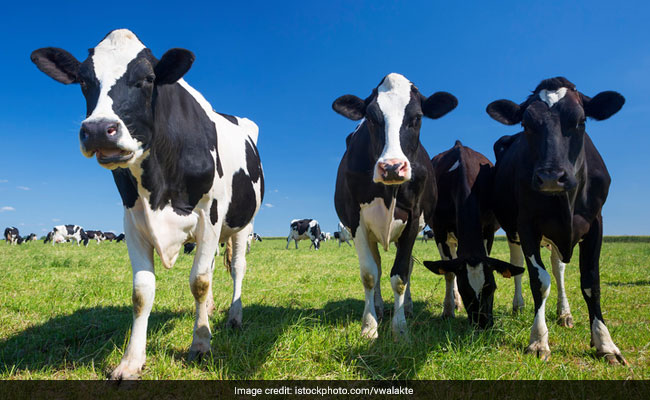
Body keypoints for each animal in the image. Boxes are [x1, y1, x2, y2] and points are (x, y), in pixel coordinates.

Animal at [30, 29, 264, 380]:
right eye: (84, 80)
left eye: (148, 79)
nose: (98, 130)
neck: (159, 183)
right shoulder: (133, 220)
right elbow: (142, 292)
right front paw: (131, 361)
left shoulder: (209, 216)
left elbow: (199, 281)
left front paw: (200, 345)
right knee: (211, 267)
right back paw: (209, 311)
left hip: (241, 224)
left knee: (237, 268)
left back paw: (233, 316)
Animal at [332, 72, 454, 340]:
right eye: (370, 118)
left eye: (417, 117)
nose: (391, 167)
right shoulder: (355, 220)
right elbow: (369, 274)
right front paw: (369, 326)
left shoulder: (413, 218)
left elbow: (400, 275)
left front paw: (400, 329)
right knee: (377, 266)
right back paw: (378, 306)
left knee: (407, 265)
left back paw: (407, 307)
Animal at [420, 139, 520, 326]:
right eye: (465, 290)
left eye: (491, 287)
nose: (483, 324)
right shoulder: (440, 232)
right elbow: (449, 273)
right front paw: (448, 310)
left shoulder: (488, 230)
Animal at [484, 76, 624, 364]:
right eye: (526, 124)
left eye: (580, 120)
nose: (550, 177)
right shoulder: (527, 225)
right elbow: (539, 281)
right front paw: (538, 340)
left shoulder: (596, 223)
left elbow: (590, 282)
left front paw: (605, 342)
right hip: (514, 229)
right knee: (518, 264)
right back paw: (519, 305)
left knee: (558, 269)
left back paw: (564, 313)